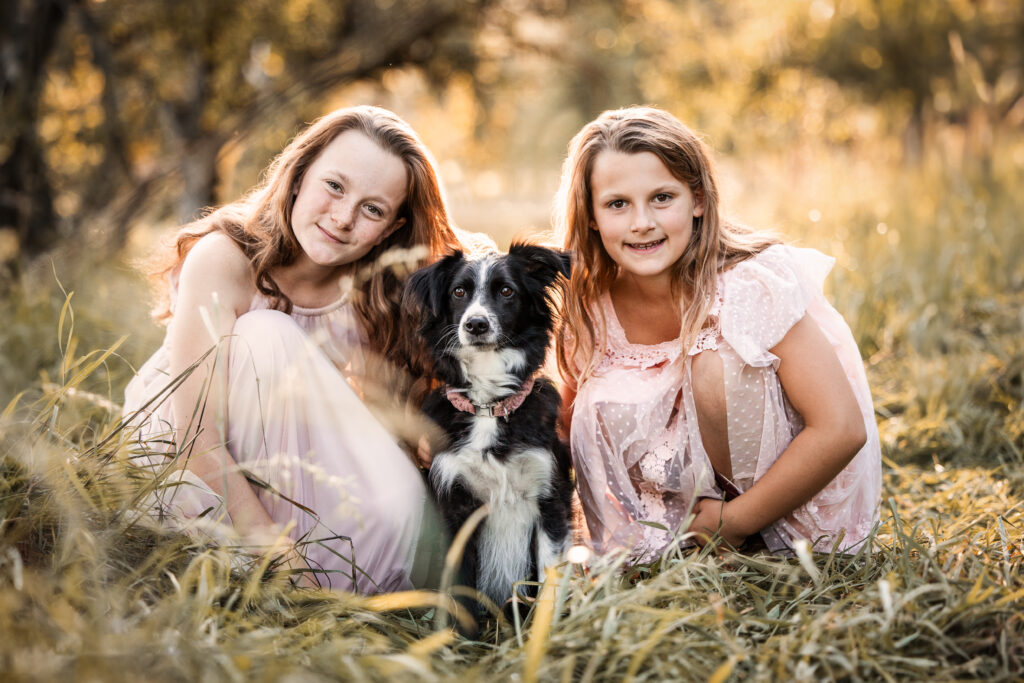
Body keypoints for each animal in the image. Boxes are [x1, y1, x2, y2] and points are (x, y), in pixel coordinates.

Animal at [401, 242, 577, 610]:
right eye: (458, 292)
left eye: (507, 291)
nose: (476, 324)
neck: (488, 408)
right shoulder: (456, 508)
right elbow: (459, 593)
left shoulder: (550, 499)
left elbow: (548, 581)